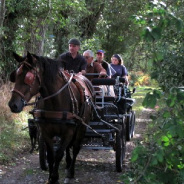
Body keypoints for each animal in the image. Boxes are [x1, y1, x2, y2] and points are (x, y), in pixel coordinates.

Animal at [8, 52, 95, 184]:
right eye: (15, 75)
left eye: (29, 78)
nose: (13, 105)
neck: (56, 101)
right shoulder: (46, 131)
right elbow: (50, 155)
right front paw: (50, 178)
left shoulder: (68, 132)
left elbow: (58, 154)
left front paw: (54, 177)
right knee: (68, 148)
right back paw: (68, 164)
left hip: (81, 127)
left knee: (75, 148)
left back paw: (71, 172)